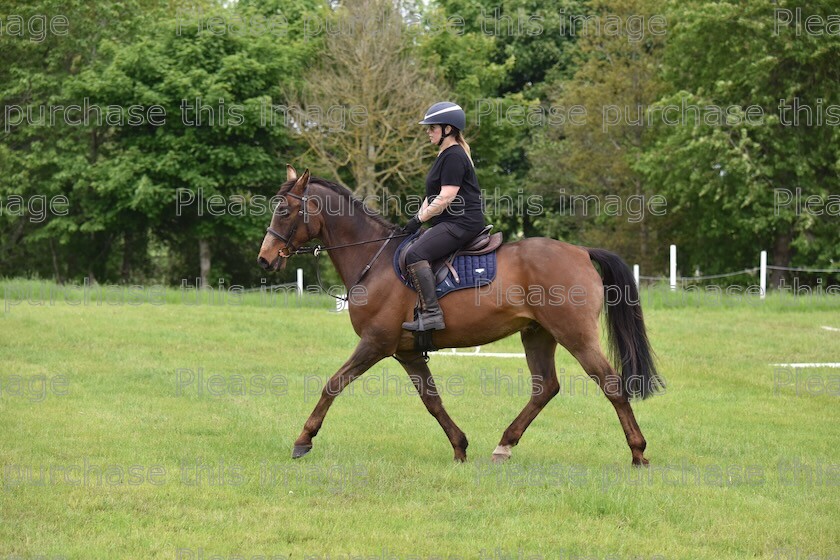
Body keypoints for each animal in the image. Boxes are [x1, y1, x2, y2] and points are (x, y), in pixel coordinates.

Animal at [256, 164, 664, 466]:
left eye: (284, 210)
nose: (265, 258)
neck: (373, 259)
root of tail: (581, 251)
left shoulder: (375, 344)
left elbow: (333, 384)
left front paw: (303, 440)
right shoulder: (405, 352)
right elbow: (432, 400)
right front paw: (459, 447)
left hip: (575, 334)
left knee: (610, 384)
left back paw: (638, 453)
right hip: (537, 333)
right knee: (545, 387)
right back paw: (504, 445)